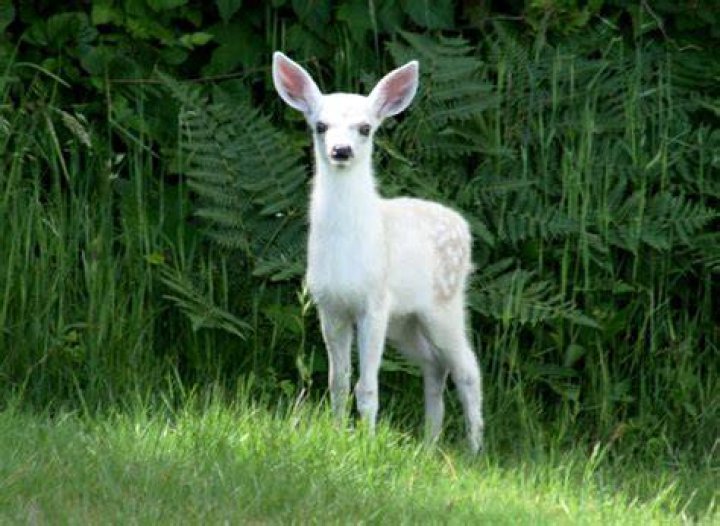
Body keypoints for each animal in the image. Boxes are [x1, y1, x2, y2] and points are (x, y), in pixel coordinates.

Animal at [272, 52, 484, 453]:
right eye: (320, 125)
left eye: (366, 128)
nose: (341, 151)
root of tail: (464, 227)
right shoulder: (329, 305)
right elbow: (338, 382)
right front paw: (337, 434)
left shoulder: (374, 301)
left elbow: (367, 386)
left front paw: (365, 443)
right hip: (406, 321)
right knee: (434, 364)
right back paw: (429, 444)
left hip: (444, 306)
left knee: (468, 369)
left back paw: (474, 450)